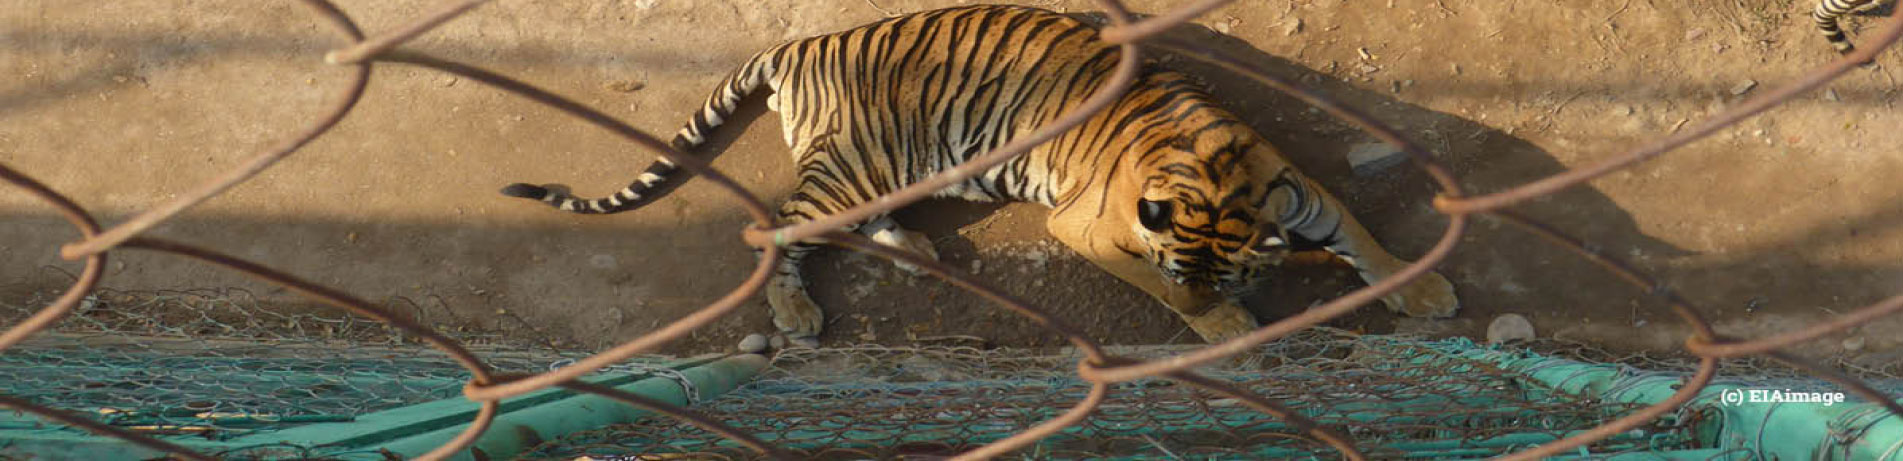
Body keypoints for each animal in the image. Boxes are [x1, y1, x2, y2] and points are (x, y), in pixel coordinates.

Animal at [502, 2, 1453, 342]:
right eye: (1180, 275)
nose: (1208, 299)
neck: (1217, 182)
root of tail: (801, 44)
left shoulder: (1303, 190)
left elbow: (1364, 236)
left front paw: (1421, 288)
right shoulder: (1085, 226)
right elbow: (1143, 280)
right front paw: (1217, 325)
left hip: (887, 172)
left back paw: (916, 250)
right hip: (857, 166)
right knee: (777, 229)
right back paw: (798, 313)